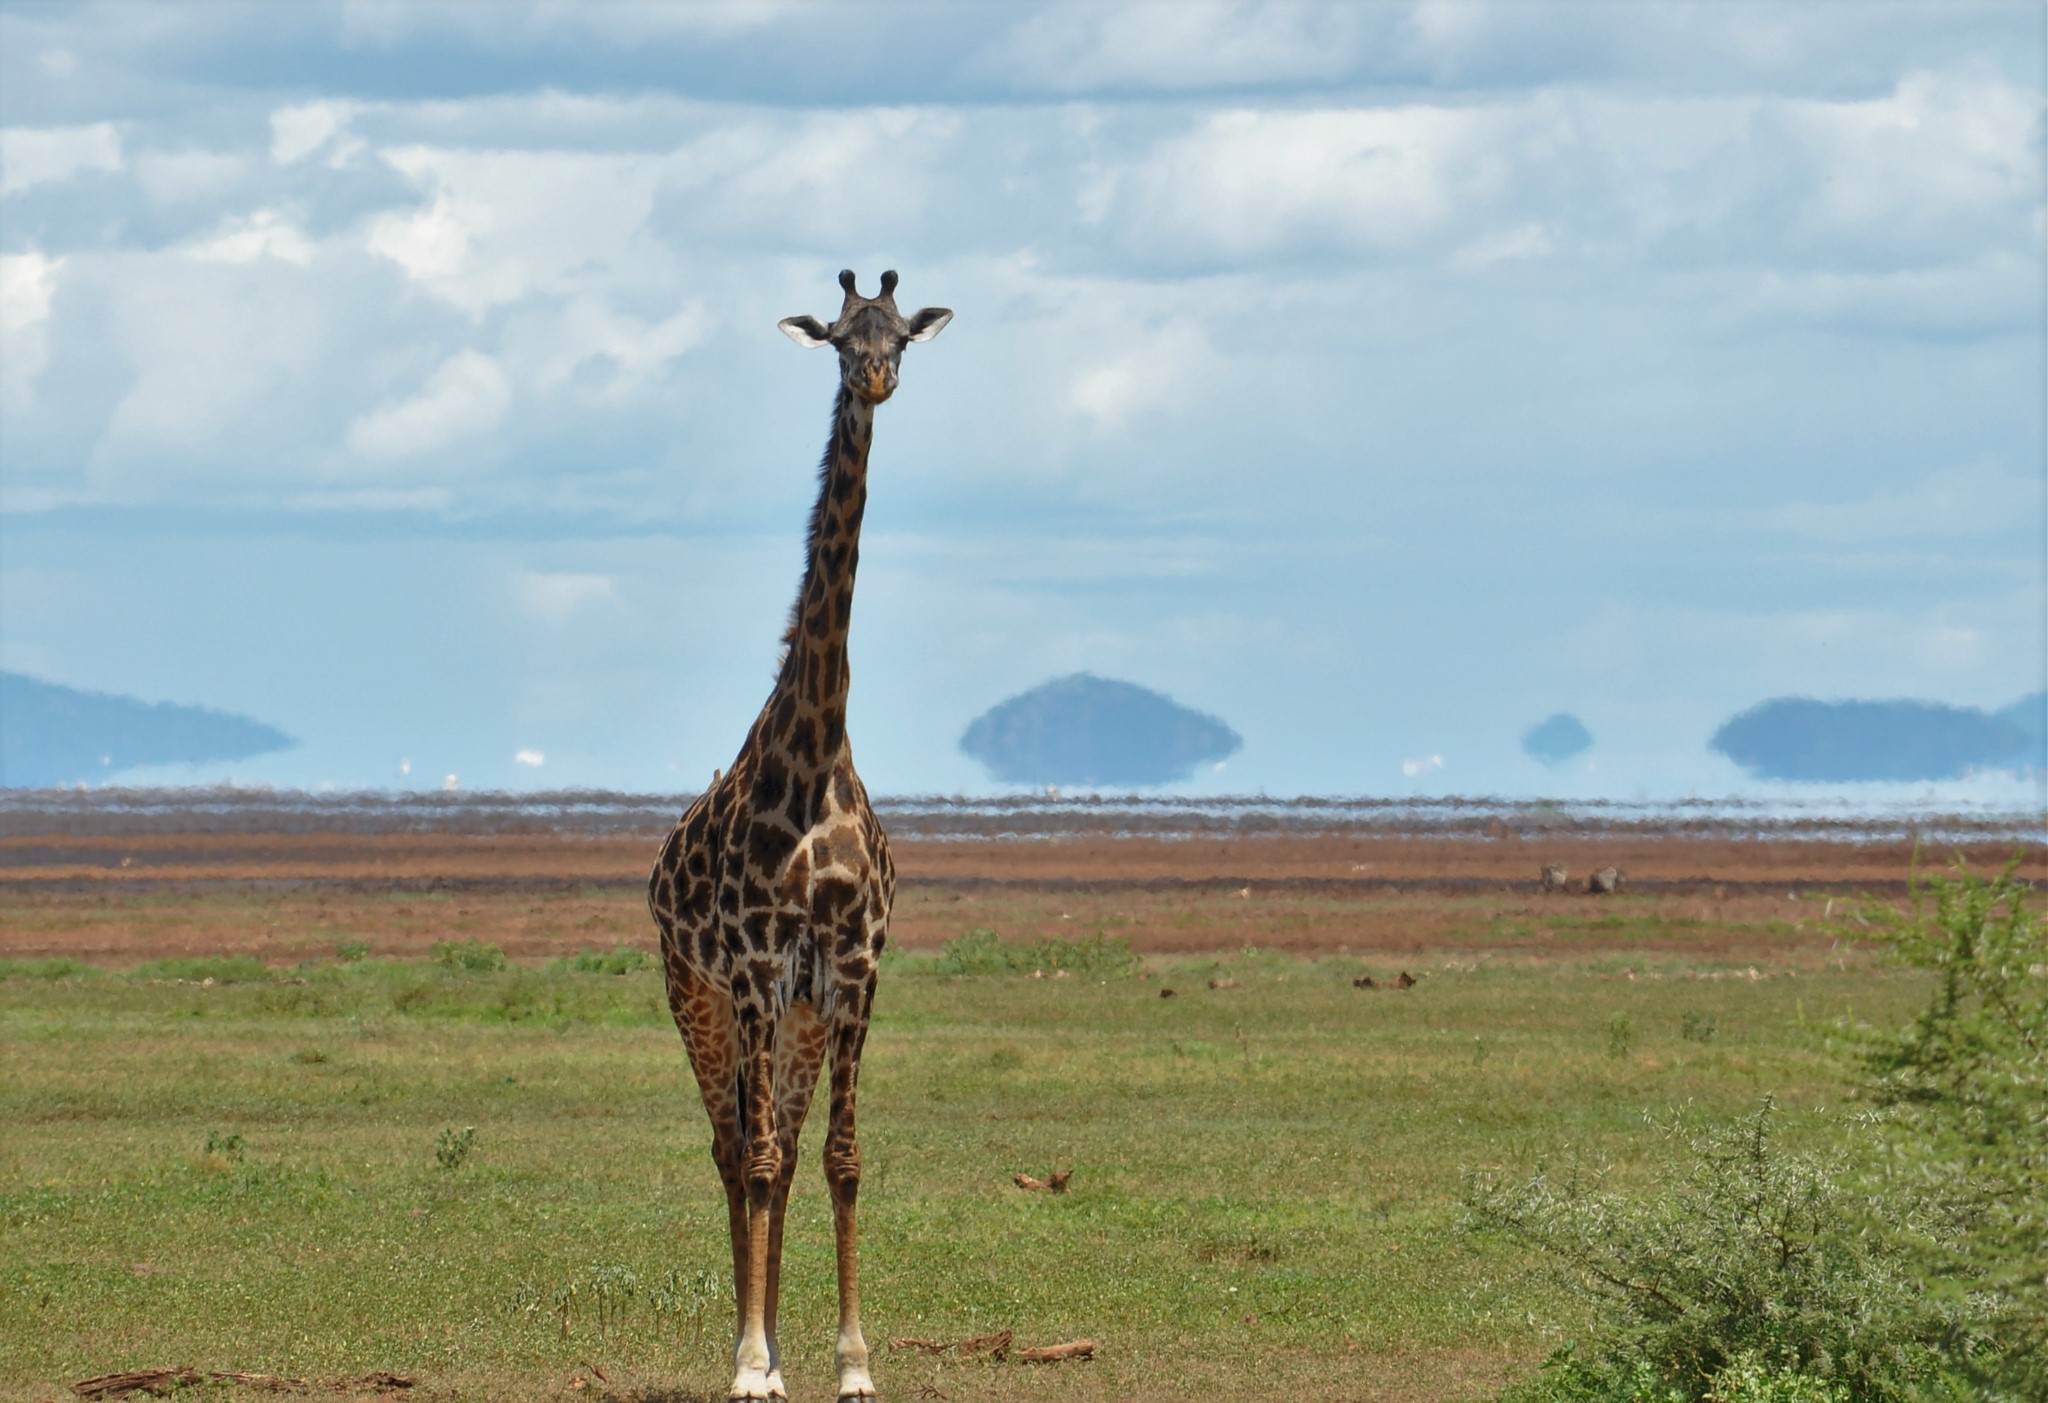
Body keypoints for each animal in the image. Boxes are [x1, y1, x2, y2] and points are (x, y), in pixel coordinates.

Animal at [647, 268, 950, 1392]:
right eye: (837, 340)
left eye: (900, 334)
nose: (876, 380)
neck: (814, 754)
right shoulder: (752, 964)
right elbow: (764, 1155)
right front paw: (747, 1361)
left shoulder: (853, 966)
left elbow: (840, 1157)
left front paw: (851, 1361)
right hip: (699, 994)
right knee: (737, 1150)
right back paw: (756, 1351)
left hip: (799, 1015)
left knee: (773, 1146)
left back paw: (779, 1349)